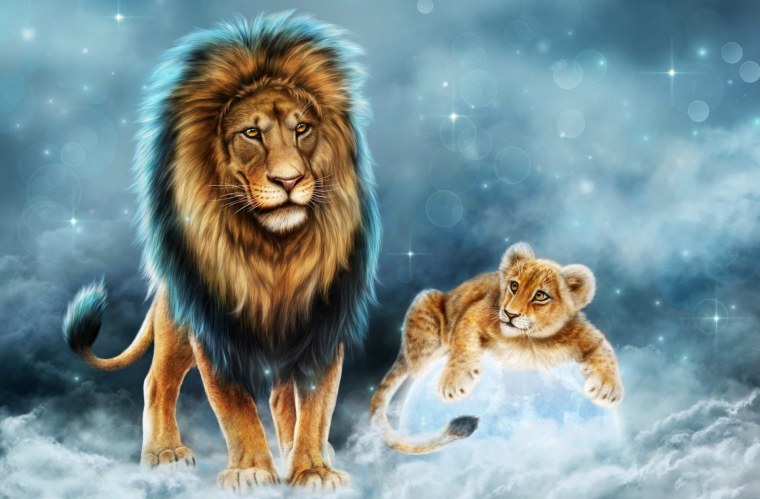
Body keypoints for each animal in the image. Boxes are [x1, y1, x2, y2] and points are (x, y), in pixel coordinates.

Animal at [62, 13, 380, 492]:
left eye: (302, 129)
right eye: (251, 133)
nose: (289, 180)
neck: (275, 253)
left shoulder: (321, 325)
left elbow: (315, 404)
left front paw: (312, 469)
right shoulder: (214, 328)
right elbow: (235, 407)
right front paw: (250, 470)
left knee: (281, 398)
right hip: (177, 322)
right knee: (156, 381)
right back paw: (165, 453)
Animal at [369, 242, 623, 454]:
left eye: (540, 295)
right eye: (514, 286)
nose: (510, 314)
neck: (528, 341)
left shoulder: (586, 335)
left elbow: (605, 351)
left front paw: (606, 390)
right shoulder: (473, 313)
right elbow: (462, 342)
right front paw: (454, 383)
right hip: (426, 300)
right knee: (417, 365)